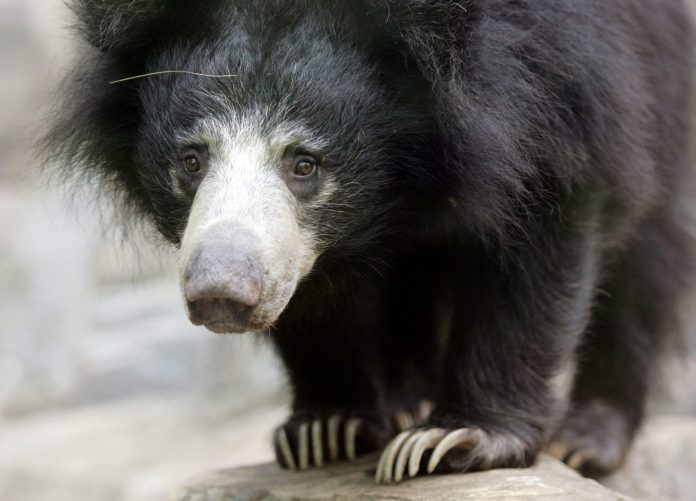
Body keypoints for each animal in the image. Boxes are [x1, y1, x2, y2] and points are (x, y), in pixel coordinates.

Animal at [43, 0, 694, 483]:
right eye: (192, 159)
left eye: (304, 164)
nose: (221, 293)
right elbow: (314, 301)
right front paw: (327, 430)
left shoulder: (561, 84)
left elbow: (539, 245)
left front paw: (454, 439)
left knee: (645, 268)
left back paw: (587, 440)